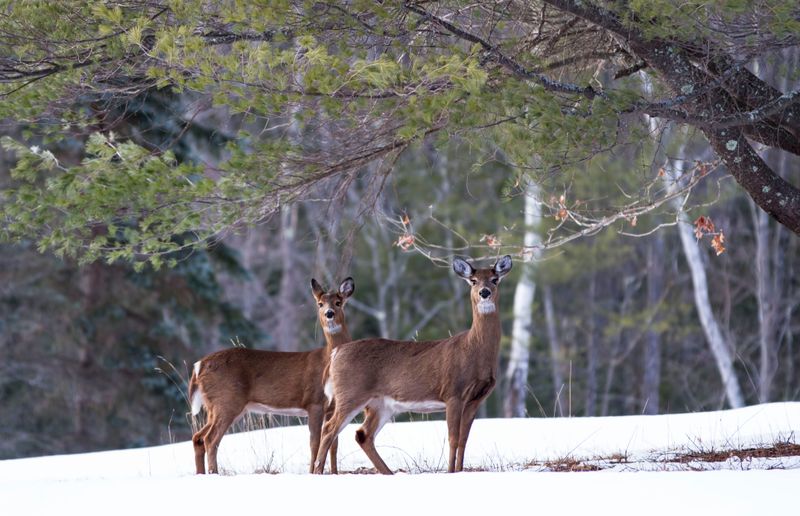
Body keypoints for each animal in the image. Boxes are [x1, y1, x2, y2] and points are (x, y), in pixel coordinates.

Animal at [189, 276, 354, 474]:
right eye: (320, 304)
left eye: (338, 302)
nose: (329, 313)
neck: (327, 358)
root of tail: (199, 365)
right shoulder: (313, 402)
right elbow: (315, 442)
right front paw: (312, 472)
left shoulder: (331, 407)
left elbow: (333, 443)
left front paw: (334, 473)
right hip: (226, 400)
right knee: (210, 439)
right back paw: (214, 473)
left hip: (217, 406)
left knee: (198, 437)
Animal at [312, 255, 512, 476]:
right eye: (473, 281)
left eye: (495, 279)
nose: (484, 292)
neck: (474, 350)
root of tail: (336, 353)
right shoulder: (453, 392)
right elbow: (452, 439)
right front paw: (451, 472)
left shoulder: (476, 399)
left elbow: (463, 440)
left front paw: (459, 471)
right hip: (350, 394)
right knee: (329, 428)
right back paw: (318, 472)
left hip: (380, 404)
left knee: (363, 434)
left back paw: (388, 473)